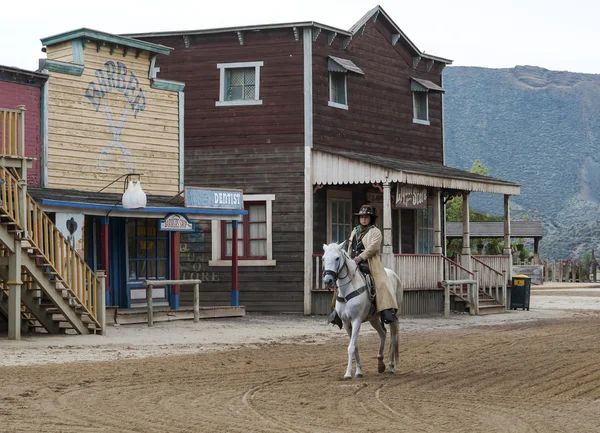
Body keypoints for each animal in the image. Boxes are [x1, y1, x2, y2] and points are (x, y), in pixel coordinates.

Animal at [322, 243, 406, 378]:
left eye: (337, 258)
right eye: (323, 258)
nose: (328, 280)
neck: (349, 289)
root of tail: (394, 275)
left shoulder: (356, 320)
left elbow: (351, 347)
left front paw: (348, 373)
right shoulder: (346, 323)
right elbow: (354, 345)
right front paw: (358, 371)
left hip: (395, 316)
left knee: (393, 338)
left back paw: (391, 367)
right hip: (374, 319)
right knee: (383, 333)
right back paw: (380, 363)